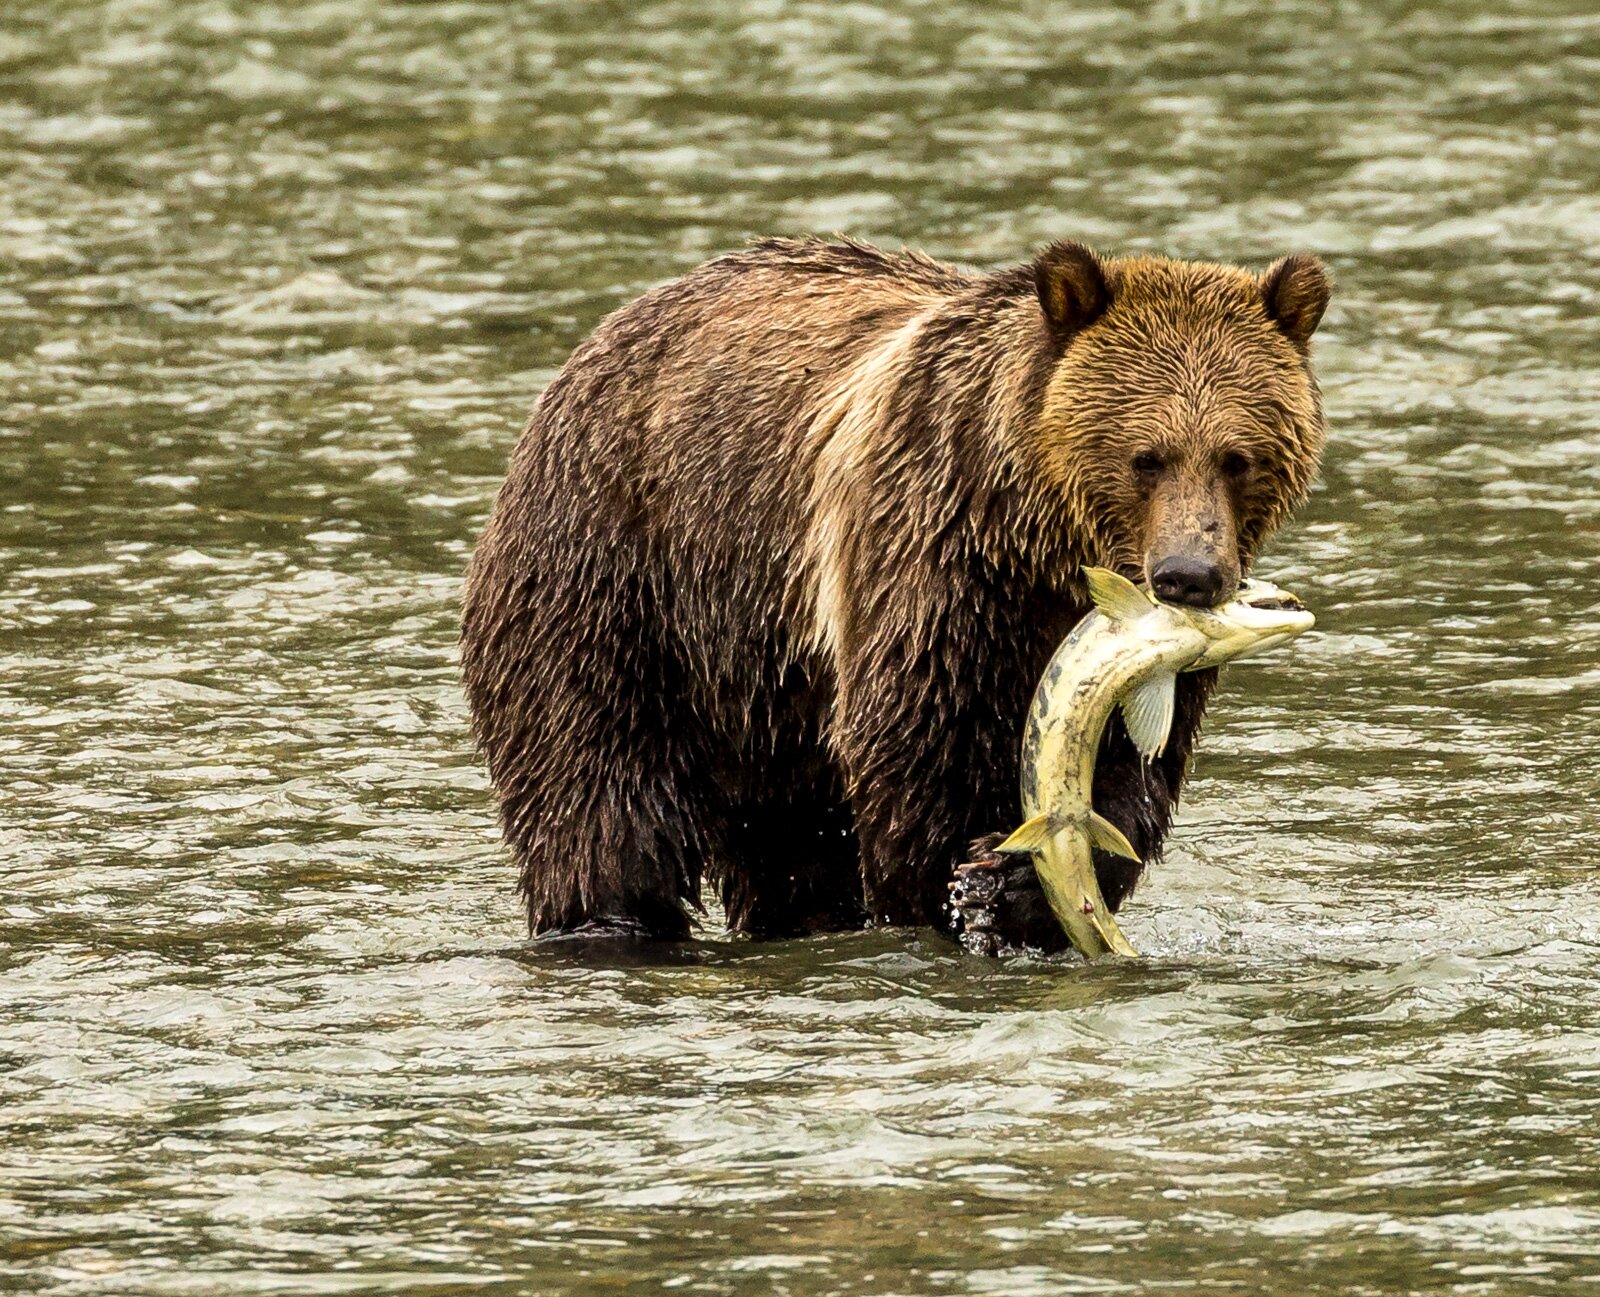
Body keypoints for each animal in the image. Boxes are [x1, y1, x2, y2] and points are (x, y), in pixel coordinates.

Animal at [460, 238, 1324, 946]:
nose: (1188, 575)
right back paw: (607, 922)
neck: (1036, 539)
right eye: (1146, 456)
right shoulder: (931, 558)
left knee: (786, 842)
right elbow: (917, 760)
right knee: (600, 800)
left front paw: (1021, 884)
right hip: (618, 580)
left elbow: (1133, 769)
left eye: (1237, 456)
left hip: (763, 690)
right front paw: (967, 889)